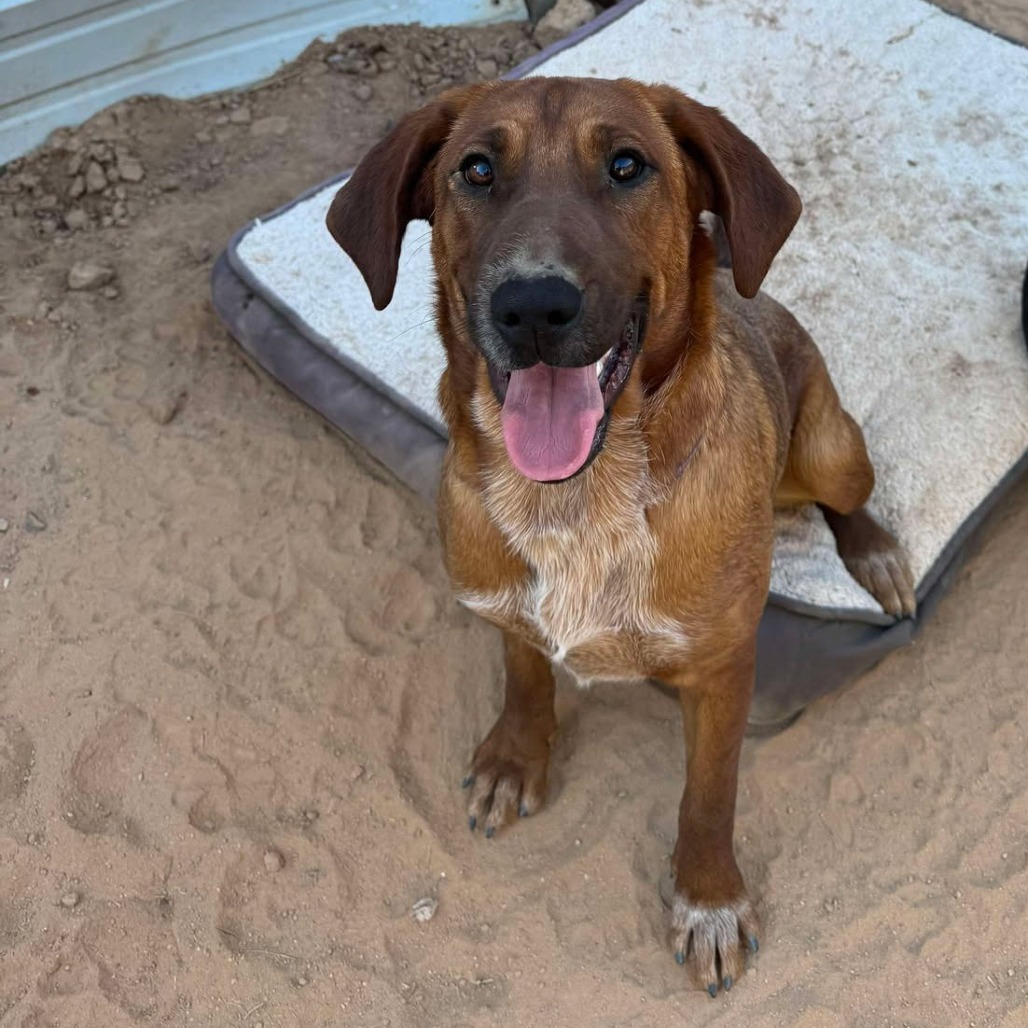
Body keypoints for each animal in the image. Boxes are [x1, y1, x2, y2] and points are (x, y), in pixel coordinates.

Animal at [322, 78, 916, 995]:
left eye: (628, 166)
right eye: (477, 169)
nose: (532, 305)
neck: (574, 499)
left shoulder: (721, 670)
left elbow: (708, 795)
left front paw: (708, 898)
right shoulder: (504, 605)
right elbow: (526, 675)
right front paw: (516, 757)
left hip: (831, 450)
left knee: (852, 494)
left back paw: (876, 555)